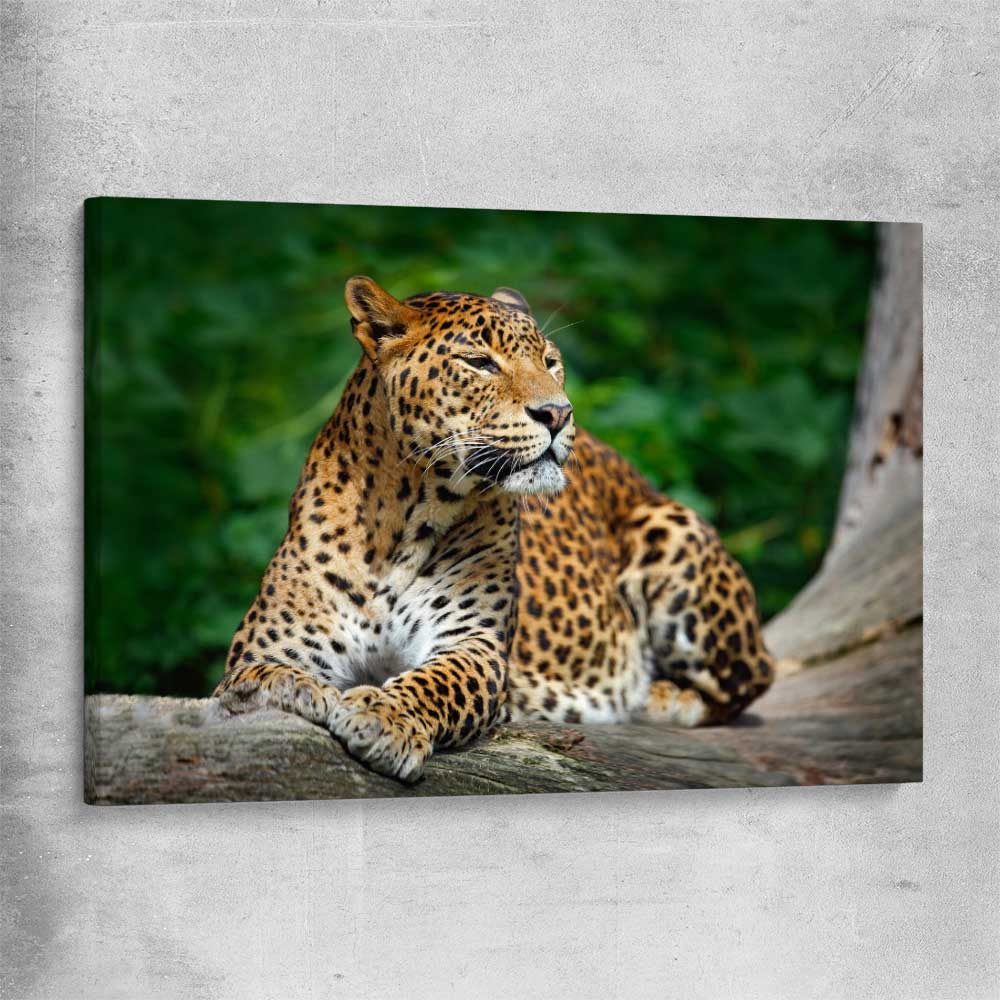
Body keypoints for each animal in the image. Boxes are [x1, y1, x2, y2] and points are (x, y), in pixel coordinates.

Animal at [214, 277, 775, 782]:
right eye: (479, 362)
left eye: (550, 361)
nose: (558, 412)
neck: (402, 520)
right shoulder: (269, 644)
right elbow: (257, 676)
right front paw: (293, 690)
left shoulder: (474, 644)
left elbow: (436, 682)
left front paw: (384, 718)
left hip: (672, 530)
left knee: (751, 679)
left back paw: (654, 695)